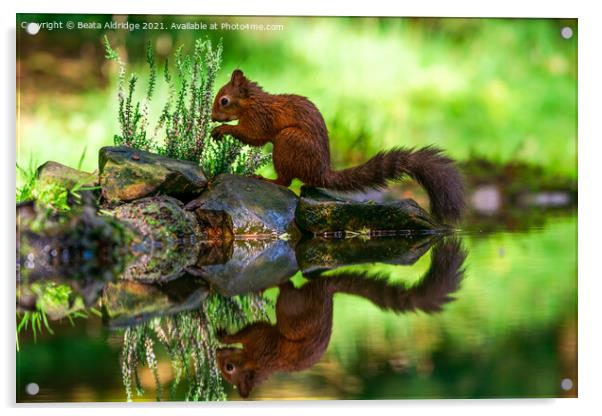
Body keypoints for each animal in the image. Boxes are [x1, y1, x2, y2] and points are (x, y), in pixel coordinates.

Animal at [210, 69, 464, 224]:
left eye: (224, 100)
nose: (212, 117)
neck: (253, 102)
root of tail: (320, 171)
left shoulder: (260, 120)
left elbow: (254, 136)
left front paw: (222, 130)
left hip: (287, 141)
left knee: (286, 181)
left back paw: (266, 179)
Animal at [214, 239, 464, 398]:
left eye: (229, 368)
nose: (216, 355)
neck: (259, 364)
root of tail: (324, 294)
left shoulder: (261, 341)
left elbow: (251, 330)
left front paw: (225, 336)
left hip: (290, 308)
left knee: (287, 287)